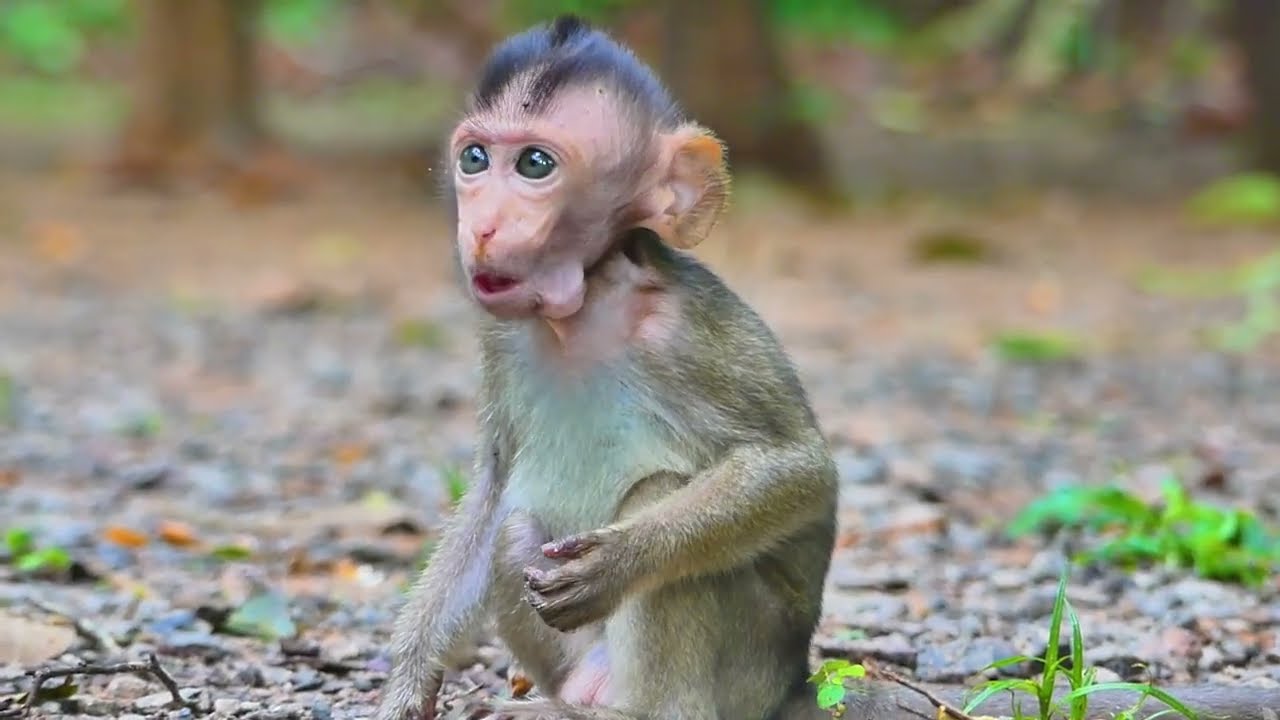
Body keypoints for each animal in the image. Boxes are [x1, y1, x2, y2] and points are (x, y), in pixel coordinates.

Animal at [374, 15, 1280, 720]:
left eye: (535, 165)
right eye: (476, 160)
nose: (483, 226)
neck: (583, 308)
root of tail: (792, 684)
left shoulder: (689, 334)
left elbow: (800, 470)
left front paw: (626, 560)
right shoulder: (502, 340)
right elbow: (493, 488)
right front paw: (408, 682)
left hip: (743, 666)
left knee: (663, 506)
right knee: (515, 526)